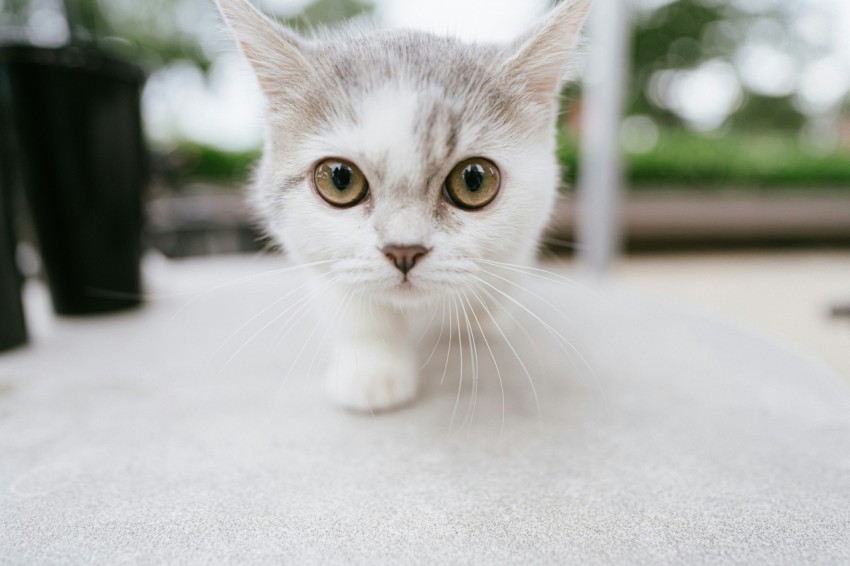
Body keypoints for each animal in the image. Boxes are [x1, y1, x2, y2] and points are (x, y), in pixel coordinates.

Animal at [215, 0, 588, 412]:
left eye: (474, 181)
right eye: (339, 179)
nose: (404, 250)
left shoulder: (519, 245)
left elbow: (496, 278)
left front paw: (474, 320)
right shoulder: (320, 257)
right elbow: (356, 308)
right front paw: (372, 371)